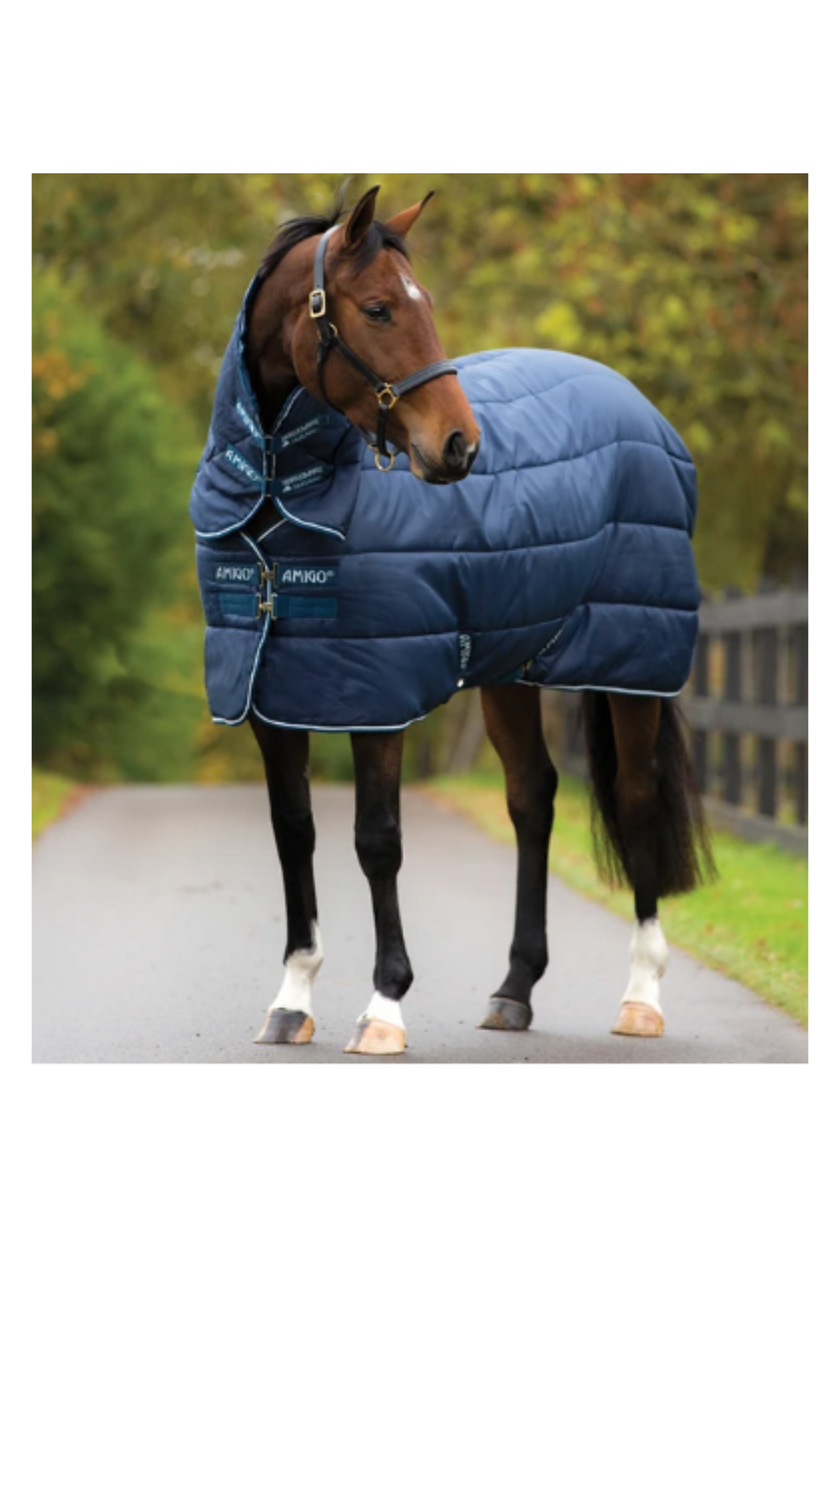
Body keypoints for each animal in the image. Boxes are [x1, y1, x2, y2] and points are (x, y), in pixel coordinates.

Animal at [191, 183, 713, 1056]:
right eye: (377, 308)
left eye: (425, 303)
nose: (461, 446)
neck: (283, 494)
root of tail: (642, 409)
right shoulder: (271, 693)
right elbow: (294, 829)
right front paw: (292, 998)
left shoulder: (378, 697)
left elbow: (377, 840)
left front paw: (384, 1006)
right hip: (510, 670)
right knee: (533, 797)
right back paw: (514, 990)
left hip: (632, 664)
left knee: (637, 796)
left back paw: (642, 995)